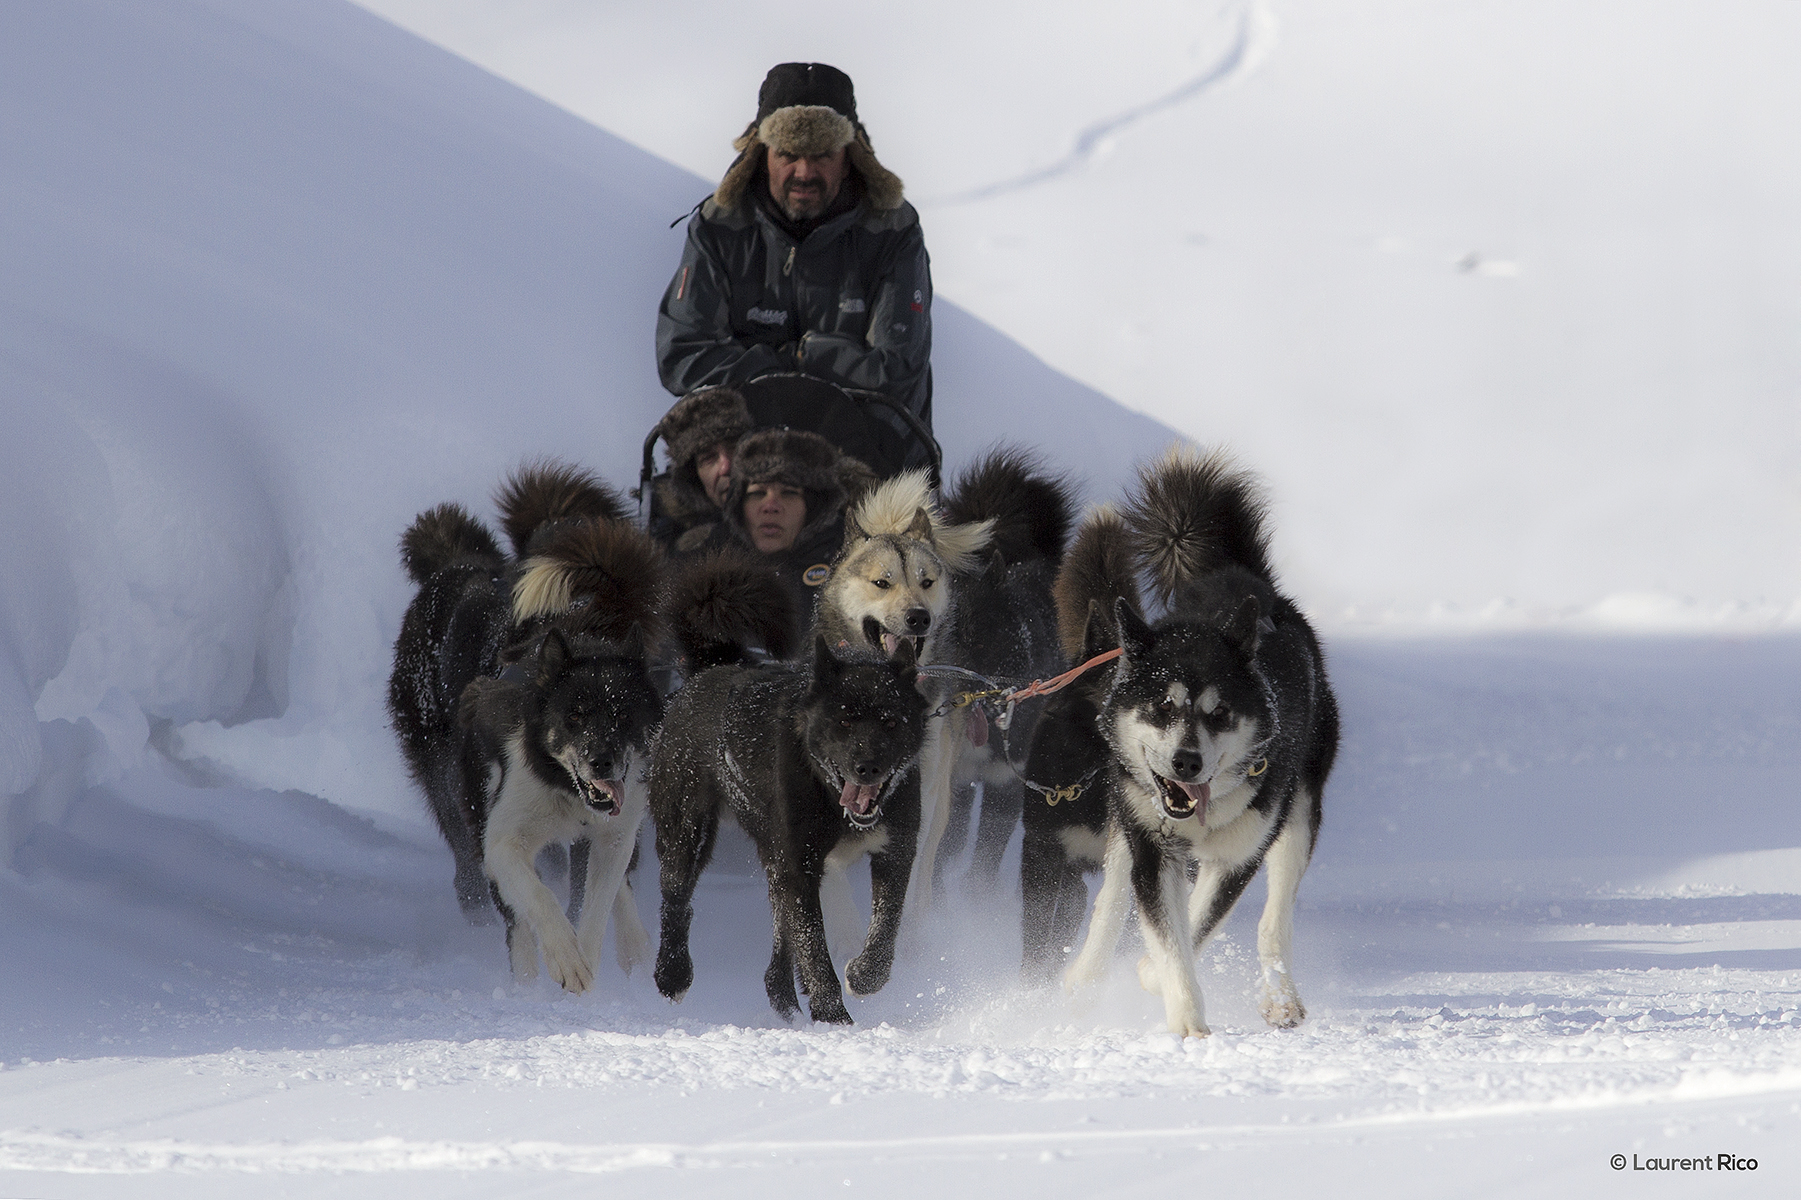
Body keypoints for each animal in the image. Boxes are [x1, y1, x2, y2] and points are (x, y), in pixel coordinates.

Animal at [651, 558, 929, 1016]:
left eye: (891, 721)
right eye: (844, 720)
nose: (867, 767)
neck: (831, 797)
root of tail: (711, 668)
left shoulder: (895, 852)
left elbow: (884, 928)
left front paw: (863, 976)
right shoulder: (800, 865)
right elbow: (815, 950)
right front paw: (833, 1016)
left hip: (772, 857)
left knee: (779, 941)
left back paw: (783, 996)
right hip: (687, 830)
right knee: (676, 900)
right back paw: (672, 974)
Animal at [1051, 450, 1339, 1037]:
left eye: (1220, 713)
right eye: (1162, 706)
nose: (1186, 762)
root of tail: (1240, 577)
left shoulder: (1240, 855)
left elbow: (1198, 921)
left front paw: (1148, 975)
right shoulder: (1152, 848)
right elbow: (1170, 936)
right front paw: (1185, 1022)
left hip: (1298, 817)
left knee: (1275, 920)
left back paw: (1281, 997)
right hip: (1129, 821)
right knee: (1111, 899)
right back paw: (1085, 976)